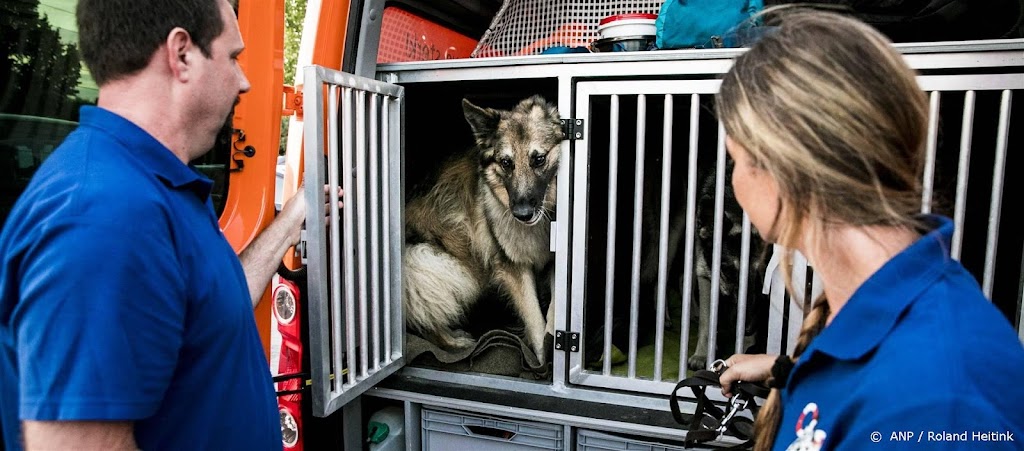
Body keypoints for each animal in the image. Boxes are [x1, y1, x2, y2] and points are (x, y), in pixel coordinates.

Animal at [401, 94, 561, 362]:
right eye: (506, 163)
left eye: (538, 159)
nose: (522, 214)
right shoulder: (513, 267)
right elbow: (534, 319)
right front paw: (540, 361)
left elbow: (554, 309)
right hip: (445, 265)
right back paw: (452, 342)